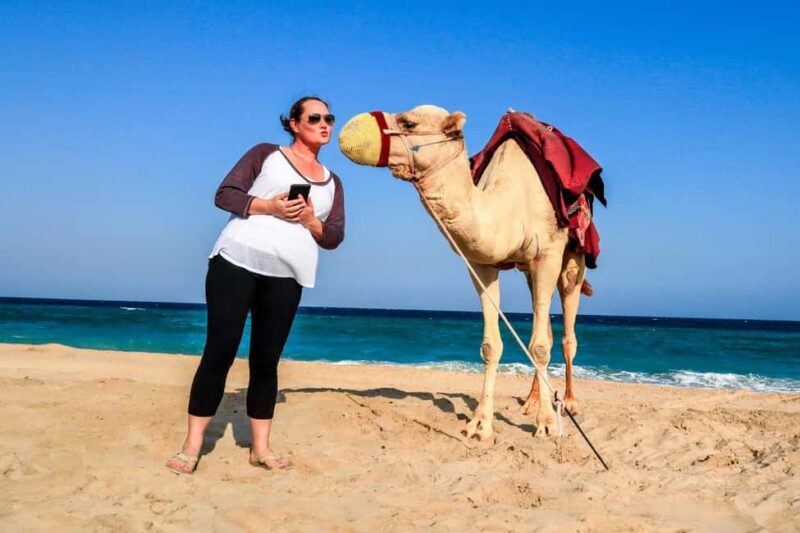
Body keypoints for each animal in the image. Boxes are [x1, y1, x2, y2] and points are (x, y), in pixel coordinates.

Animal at [338, 105, 590, 439]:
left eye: (409, 123)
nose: (347, 131)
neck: (509, 206)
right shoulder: (482, 264)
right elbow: (491, 345)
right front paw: (480, 424)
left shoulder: (547, 254)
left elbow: (539, 347)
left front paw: (547, 424)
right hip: (527, 271)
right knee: (545, 326)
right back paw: (532, 400)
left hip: (573, 259)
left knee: (566, 333)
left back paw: (570, 402)